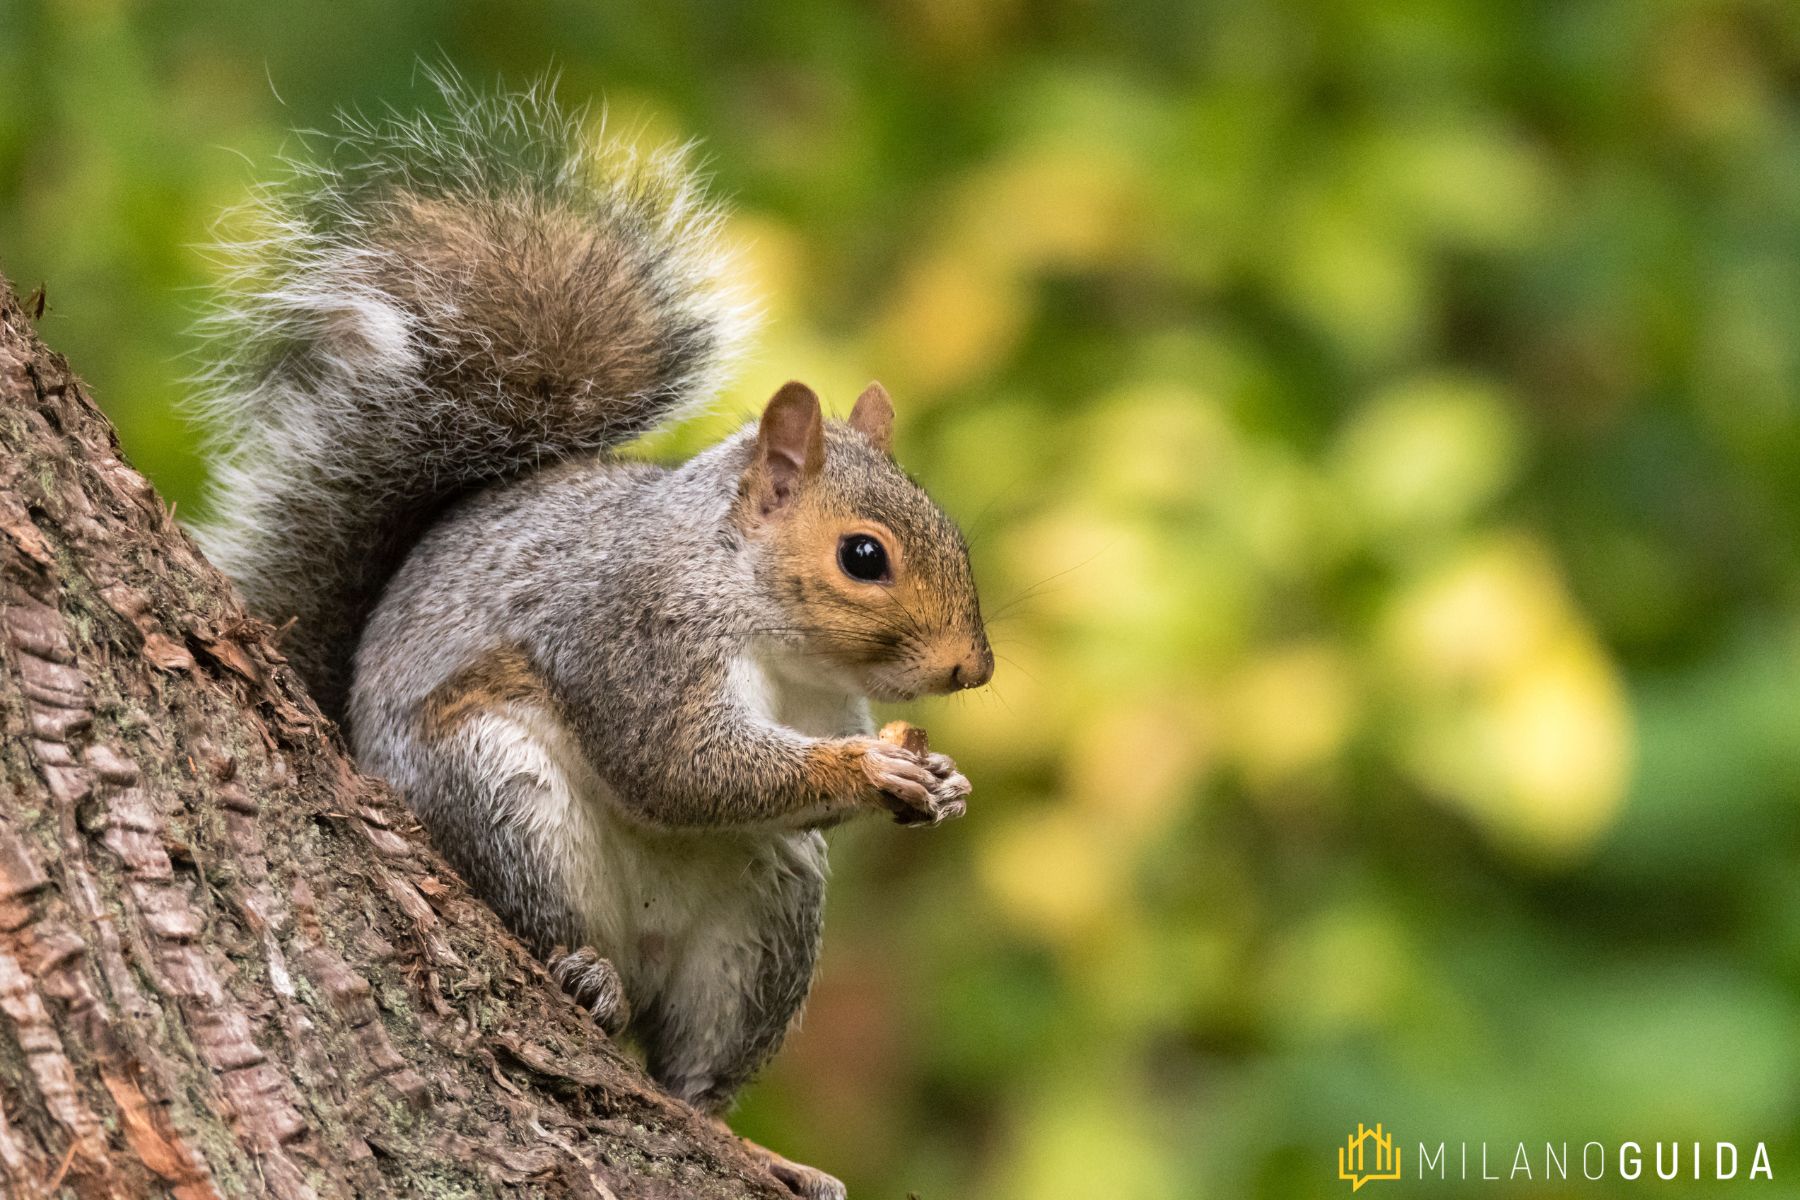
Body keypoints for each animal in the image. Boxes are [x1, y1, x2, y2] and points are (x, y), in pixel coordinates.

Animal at [189, 77, 993, 1200]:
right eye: (864, 556)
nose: (975, 667)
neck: (766, 629)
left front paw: (943, 784)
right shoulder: (634, 635)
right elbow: (681, 766)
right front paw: (872, 769)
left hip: (768, 918)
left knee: (693, 1076)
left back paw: (756, 1147)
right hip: (500, 796)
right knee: (549, 925)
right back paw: (586, 972)